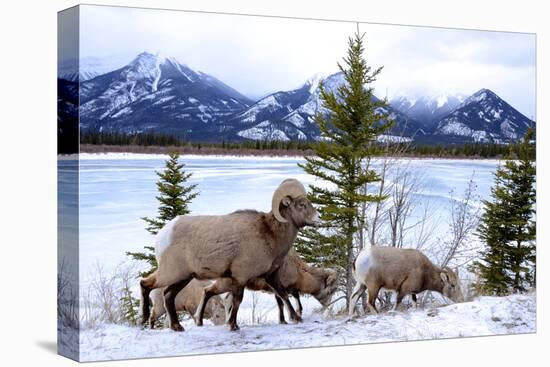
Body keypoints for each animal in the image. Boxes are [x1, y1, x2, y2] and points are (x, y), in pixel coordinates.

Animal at [140, 179, 322, 334]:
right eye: (301, 205)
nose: (318, 218)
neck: (270, 234)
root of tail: (163, 235)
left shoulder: (271, 276)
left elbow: (283, 295)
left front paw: (296, 318)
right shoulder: (241, 277)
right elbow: (237, 300)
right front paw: (233, 326)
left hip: (183, 277)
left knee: (168, 295)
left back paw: (177, 327)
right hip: (171, 273)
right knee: (145, 284)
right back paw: (144, 320)